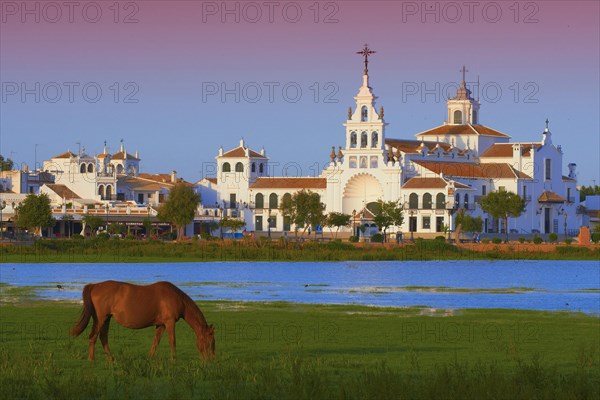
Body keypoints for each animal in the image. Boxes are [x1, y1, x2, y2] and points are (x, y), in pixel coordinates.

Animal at [70, 280, 216, 360]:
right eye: (210, 341)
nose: (210, 360)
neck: (176, 298)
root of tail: (94, 286)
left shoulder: (161, 325)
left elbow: (155, 342)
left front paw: (150, 358)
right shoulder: (169, 323)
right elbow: (172, 341)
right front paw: (174, 359)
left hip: (106, 319)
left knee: (103, 337)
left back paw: (111, 358)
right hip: (101, 319)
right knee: (93, 336)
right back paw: (91, 359)